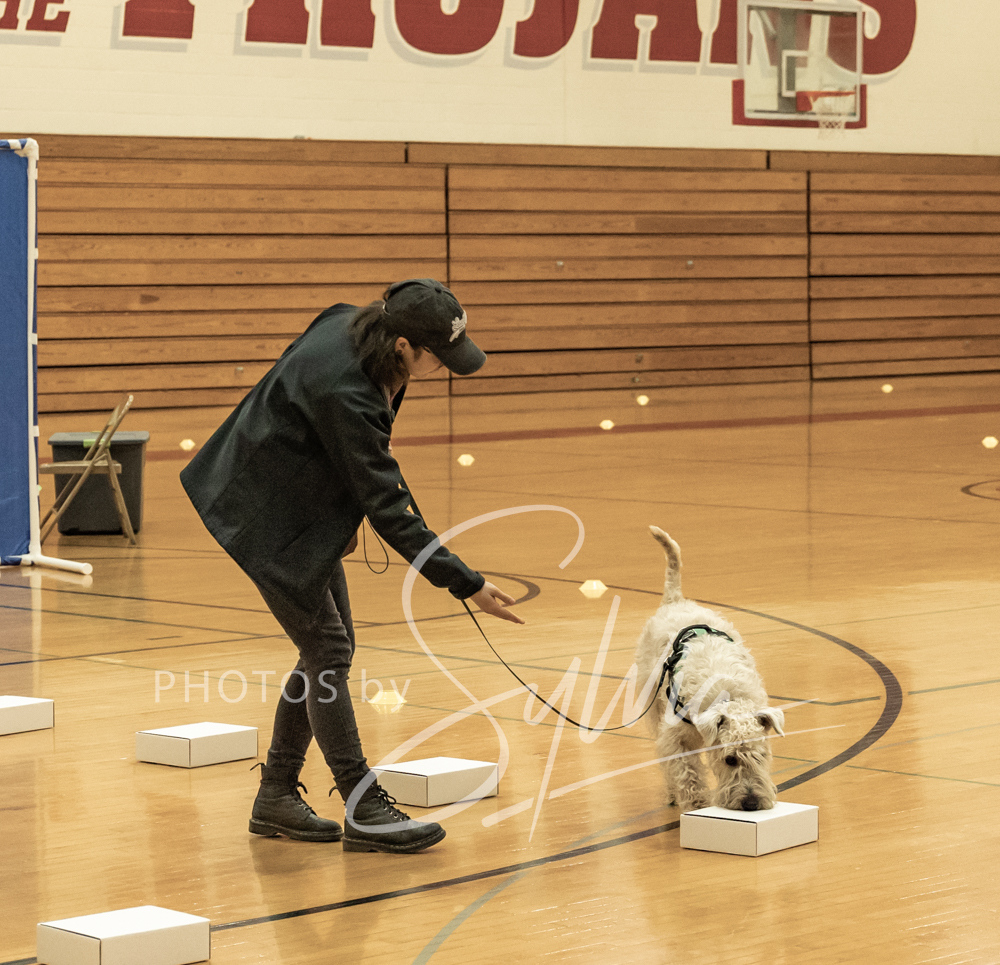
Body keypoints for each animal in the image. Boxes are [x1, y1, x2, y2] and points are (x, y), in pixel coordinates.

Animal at [635, 527, 785, 812]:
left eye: (760, 756)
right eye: (730, 760)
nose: (751, 803)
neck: (728, 694)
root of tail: (675, 600)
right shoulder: (676, 738)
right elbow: (686, 772)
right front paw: (696, 804)